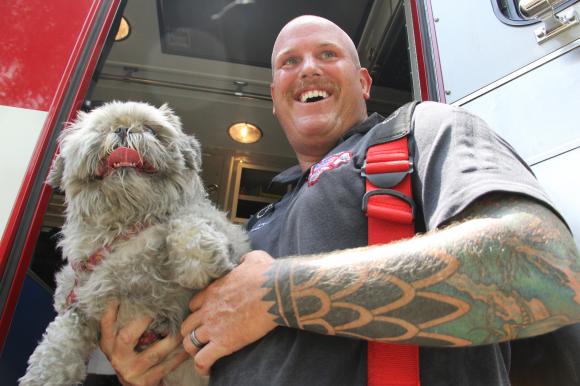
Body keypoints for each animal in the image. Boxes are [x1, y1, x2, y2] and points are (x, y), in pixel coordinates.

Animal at [17, 101, 249, 384]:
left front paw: (197, 263)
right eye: (101, 129)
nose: (122, 129)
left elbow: (183, 218)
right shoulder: (79, 306)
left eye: (150, 129)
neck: (126, 228)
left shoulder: (234, 245)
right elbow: (56, 349)